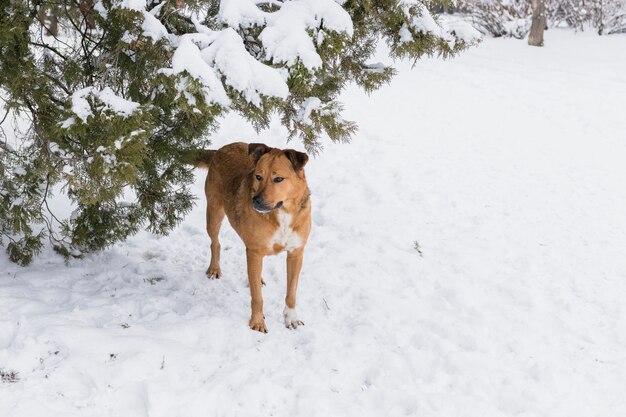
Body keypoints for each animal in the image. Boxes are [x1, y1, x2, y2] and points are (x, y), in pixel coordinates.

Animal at [189, 142, 308, 332]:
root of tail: (222, 148)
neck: (282, 214)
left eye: (278, 179)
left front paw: (291, 318)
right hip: (214, 214)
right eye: (258, 176)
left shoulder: (296, 253)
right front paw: (257, 322)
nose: (256, 201)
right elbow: (257, 297)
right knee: (215, 243)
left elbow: (291, 292)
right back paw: (214, 268)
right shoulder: (254, 251)